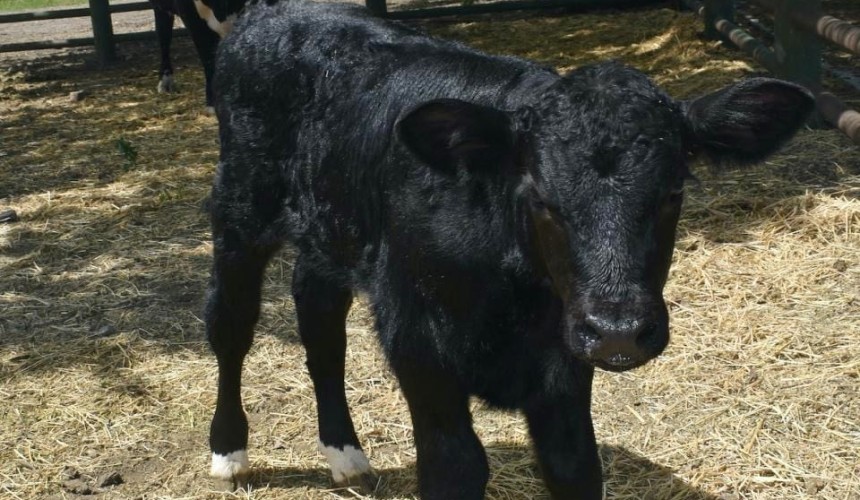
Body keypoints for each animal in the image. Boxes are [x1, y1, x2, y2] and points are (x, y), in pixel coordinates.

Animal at [203, 1, 814, 498]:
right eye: (540, 197)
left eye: (673, 192)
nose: (619, 331)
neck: (513, 298)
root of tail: (270, 14)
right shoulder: (417, 341)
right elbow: (456, 467)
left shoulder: (565, 359)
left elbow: (574, 465)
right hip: (240, 207)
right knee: (233, 325)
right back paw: (229, 453)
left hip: (328, 227)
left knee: (320, 320)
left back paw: (345, 455)